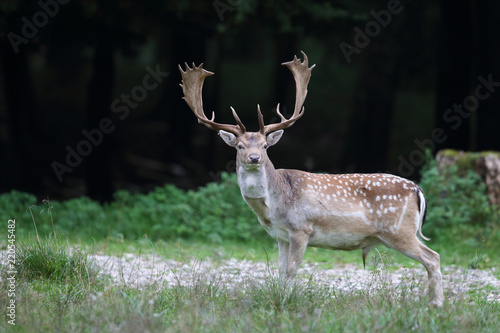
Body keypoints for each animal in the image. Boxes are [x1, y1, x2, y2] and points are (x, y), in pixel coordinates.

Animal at [178, 52, 444, 306]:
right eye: (240, 146)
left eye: (265, 146)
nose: (254, 158)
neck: (273, 206)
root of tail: (417, 190)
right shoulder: (281, 236)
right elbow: (280, 270)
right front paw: (279, 298)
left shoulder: (301, 228)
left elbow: (292, 270)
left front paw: (286, 301)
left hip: (399, 230)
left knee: (433, 257)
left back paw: (436, 304)